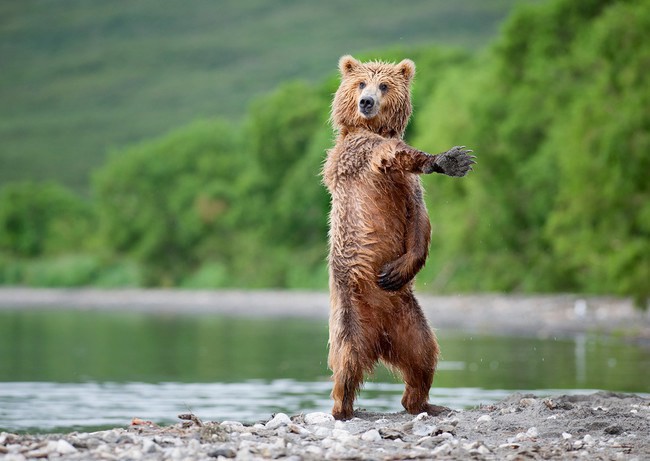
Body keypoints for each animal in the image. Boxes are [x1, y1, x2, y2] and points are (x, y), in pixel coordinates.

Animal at [322, 55, 474, 418]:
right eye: (361, 83)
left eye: (384, 85)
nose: (366, 102)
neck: (370, 128)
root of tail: (379, 339)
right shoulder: (362, 155)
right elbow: (392, 153)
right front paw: (445, 159)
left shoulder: (409, 190)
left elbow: (419, 221)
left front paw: (396, 270)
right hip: (350, 312)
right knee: (346, 359)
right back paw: (343, 407)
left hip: (408, 317)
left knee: (424, 355)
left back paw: (423, 403)